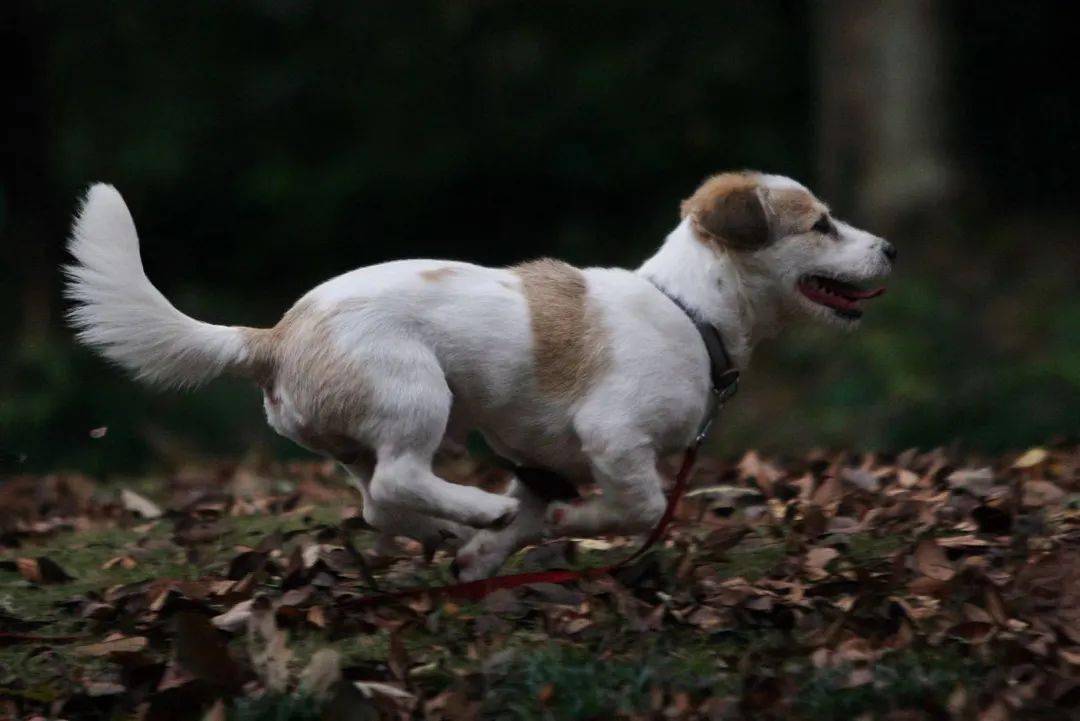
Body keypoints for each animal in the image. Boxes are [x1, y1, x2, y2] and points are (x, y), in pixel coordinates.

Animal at [65, 170, 894, 578]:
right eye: (820, 224)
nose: (889, 248)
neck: (690, 310)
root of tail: (273, 336)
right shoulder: (614, 437)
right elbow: (642, 504)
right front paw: (575, 526)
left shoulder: (540, 461)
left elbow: (534, 516)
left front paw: (487, 556)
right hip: (416, 394)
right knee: (400, 478)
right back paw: (473, 509)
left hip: (366, 436)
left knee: (379, 500)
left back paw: (452, 527)